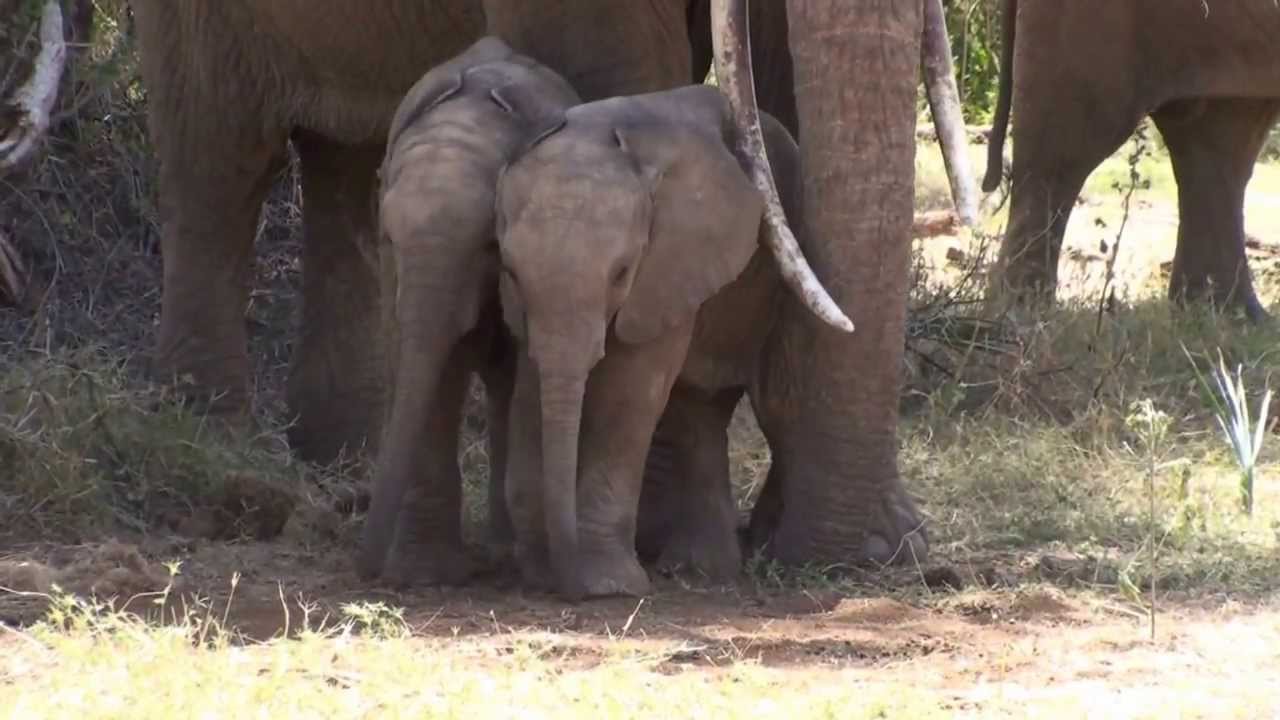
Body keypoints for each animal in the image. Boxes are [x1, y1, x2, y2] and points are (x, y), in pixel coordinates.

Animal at [355, 37, 581, 585]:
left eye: (487, 245)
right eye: (389, 237)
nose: (364, 572)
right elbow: (430, 360)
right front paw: (423, 573)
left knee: (504, 377)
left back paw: (503, 550)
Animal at [494, 83, 866, 598]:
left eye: (622, 272)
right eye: (510, 271)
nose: (565, 585)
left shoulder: (668, 264)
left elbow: (629, 393)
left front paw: (611, 586)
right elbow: (531, 388)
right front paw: (542, 573)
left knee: (775, 405)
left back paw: (760, 546)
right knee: (699, 410)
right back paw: (701, 570)